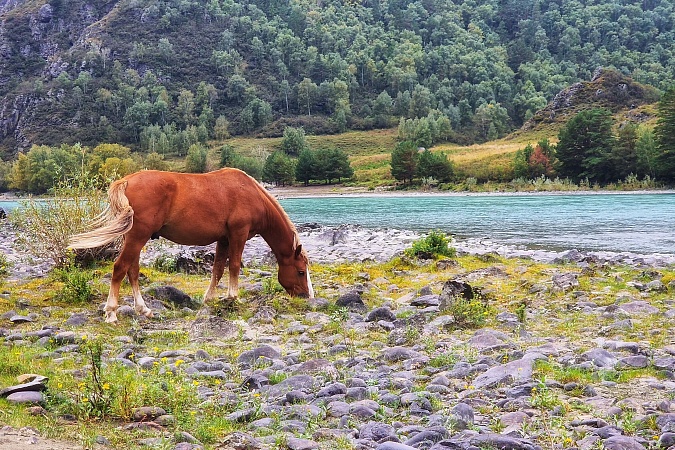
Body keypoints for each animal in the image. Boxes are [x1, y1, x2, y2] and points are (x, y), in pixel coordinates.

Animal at [68, 167, 314, 322]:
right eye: (301, 272)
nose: (307, 297)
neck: (251, 193)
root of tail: (126, 180)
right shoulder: (238, 234)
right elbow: (234, 265)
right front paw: (233, 297)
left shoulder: (224, 239)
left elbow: (218, 269)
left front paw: (210, 299)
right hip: (138, 236)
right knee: (120, 268)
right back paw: (111, 313)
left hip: (134, 238)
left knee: (132, 271)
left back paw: (144, 310)